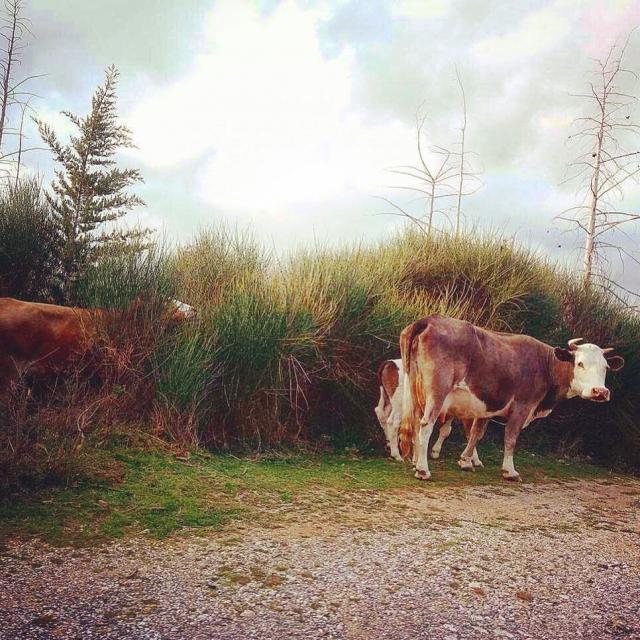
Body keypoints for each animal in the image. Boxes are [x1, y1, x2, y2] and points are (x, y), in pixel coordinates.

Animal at [400, 316, 624, 480]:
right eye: (580, 363)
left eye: (605, 367)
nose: (600, 391)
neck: (546, 365)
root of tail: (430, 320)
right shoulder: (521, 407)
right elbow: (510, 438)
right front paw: (509, 470)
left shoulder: (487, 407)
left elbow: (476, 433)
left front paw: (466, 461)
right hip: (437, 393)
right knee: (426, 424)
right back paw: (423, 469)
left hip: (415, 391)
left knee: (416, 423)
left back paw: (416, 461)